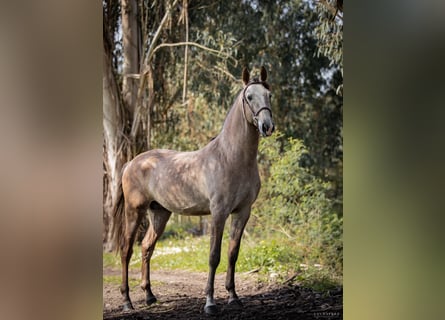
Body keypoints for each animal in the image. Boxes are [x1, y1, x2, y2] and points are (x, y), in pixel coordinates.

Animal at [111, 65, 274, 316]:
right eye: (249, 97)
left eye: (269, 95)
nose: (267, 126)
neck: (231, 158)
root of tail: (132, 163)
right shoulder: (218, 213)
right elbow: (214, 256)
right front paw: (210, 303)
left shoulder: (242, 212)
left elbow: (232, 254)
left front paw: (234, 297)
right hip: (134, 211)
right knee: (126, 250)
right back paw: (127, 301)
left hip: (159, 213)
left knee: (147, 247)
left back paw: (149, 296)